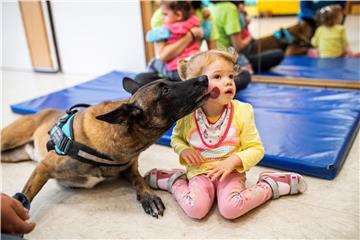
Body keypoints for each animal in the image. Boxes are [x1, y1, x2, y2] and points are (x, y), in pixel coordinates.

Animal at [1, 76, 211, 218]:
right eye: (165, 91)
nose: (204, 78)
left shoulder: (129, 169)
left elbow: (139, 180)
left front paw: (148, 196)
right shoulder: (43, 167)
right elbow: (24, 197)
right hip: (7, 140)